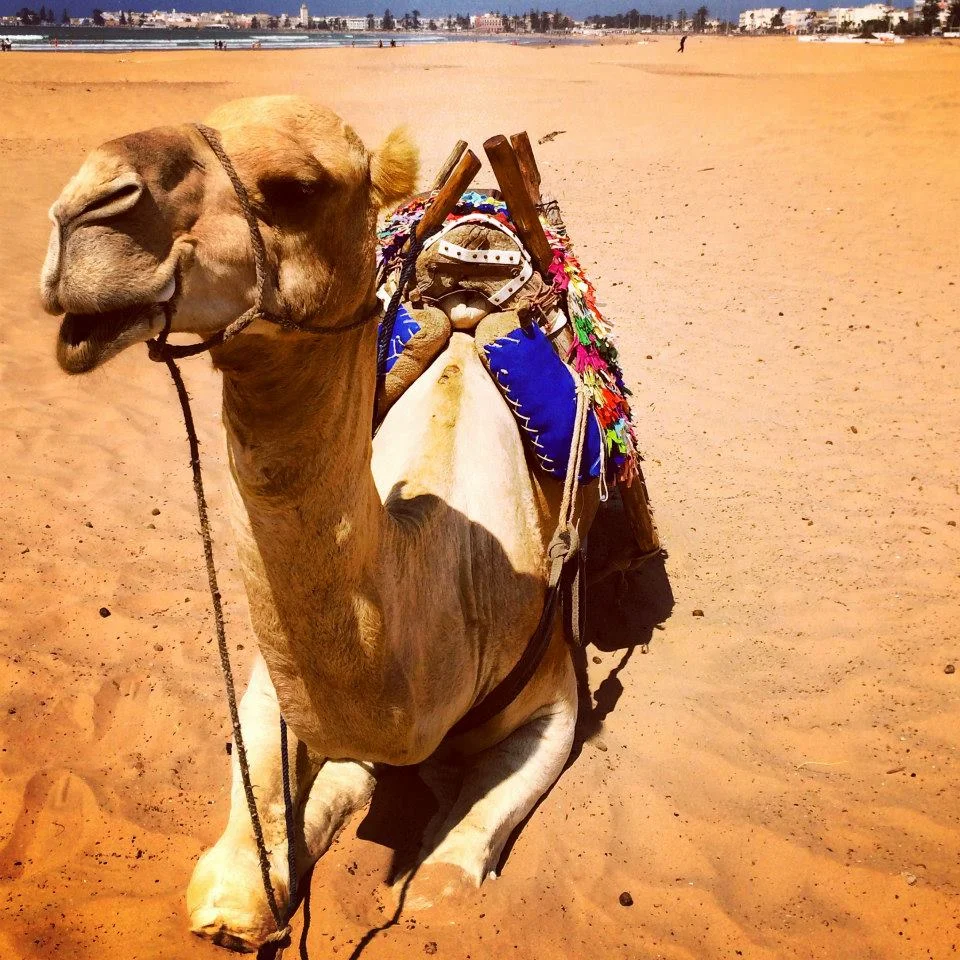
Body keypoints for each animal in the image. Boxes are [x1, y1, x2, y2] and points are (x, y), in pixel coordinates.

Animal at [42, 95, 598, 952]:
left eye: (295, 187)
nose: (81, 211)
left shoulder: (555, 699)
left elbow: (441, 887)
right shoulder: (277, 687)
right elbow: (241, 871)